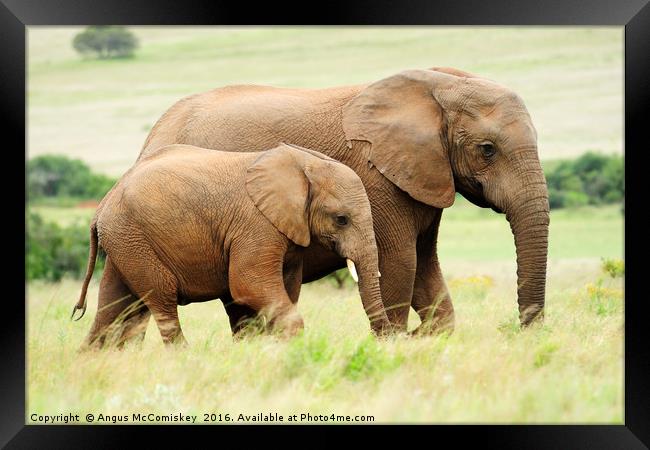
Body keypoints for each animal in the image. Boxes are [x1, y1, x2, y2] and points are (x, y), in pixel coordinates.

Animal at [74, 144, 390, 348]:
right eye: (341, 219)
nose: (384, 343)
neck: (304, 164)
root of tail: (103, 203)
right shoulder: (256, 225)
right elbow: (248, 284)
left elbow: (286, 287)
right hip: (134, 238)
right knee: (160, 299)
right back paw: (183, 357)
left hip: (124, 241)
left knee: (116, 305)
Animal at [139, 67, 548, 334]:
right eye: (487, 149)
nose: (526, 332)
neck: (443, 86)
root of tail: (154, 134)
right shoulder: (377, 177)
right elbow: (400, 263)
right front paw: (396, 344)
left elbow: (426, 265)